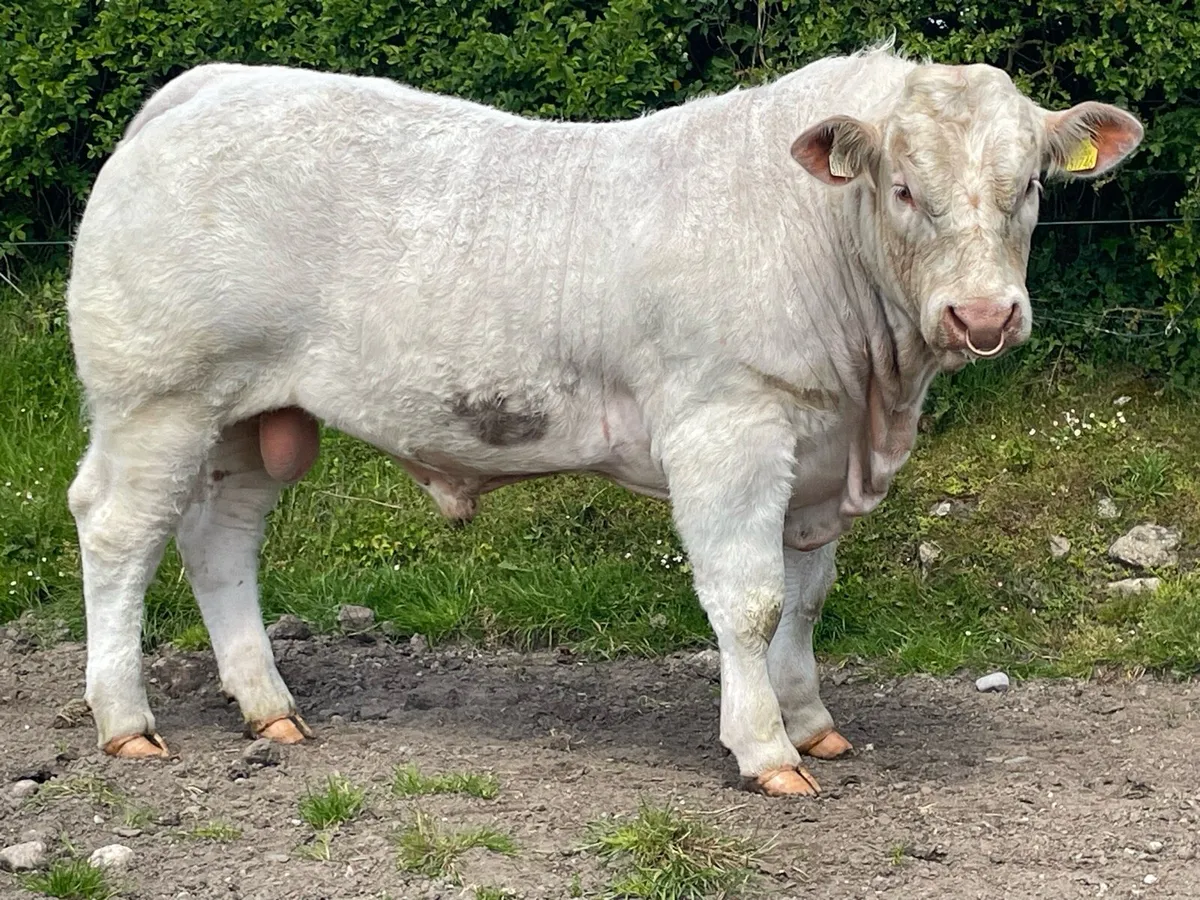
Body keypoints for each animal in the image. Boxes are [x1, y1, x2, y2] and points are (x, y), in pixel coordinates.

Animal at [64, 44, 1142, 796]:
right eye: (906, 188)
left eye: (1030, 186)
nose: (983, 316)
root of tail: (207, 86)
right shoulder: (727, 430)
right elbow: (749, 601)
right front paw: (766, 749)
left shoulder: (816, 452)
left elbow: (805, 599)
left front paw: (809, 719)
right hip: (157, 395)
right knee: (119, 531)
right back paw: (127, 720)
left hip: (253, 416)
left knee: (220, 540)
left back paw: (268, 707)